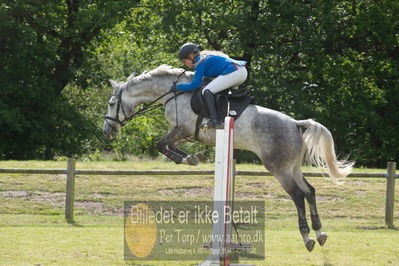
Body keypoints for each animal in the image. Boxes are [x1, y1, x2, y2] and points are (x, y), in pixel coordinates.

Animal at [102, 64, 354, 251]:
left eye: (112, 103)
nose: (107, 131)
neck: (173, 93)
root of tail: (295, 123)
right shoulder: (185, 133)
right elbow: (169, 146)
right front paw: (193, 157)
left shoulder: (182, 129)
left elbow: (161, 144)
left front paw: (187, 159)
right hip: (293, 167)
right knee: (310, 191)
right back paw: (320, 233)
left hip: (279, 168)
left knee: (297, 195)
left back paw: (307, 238)